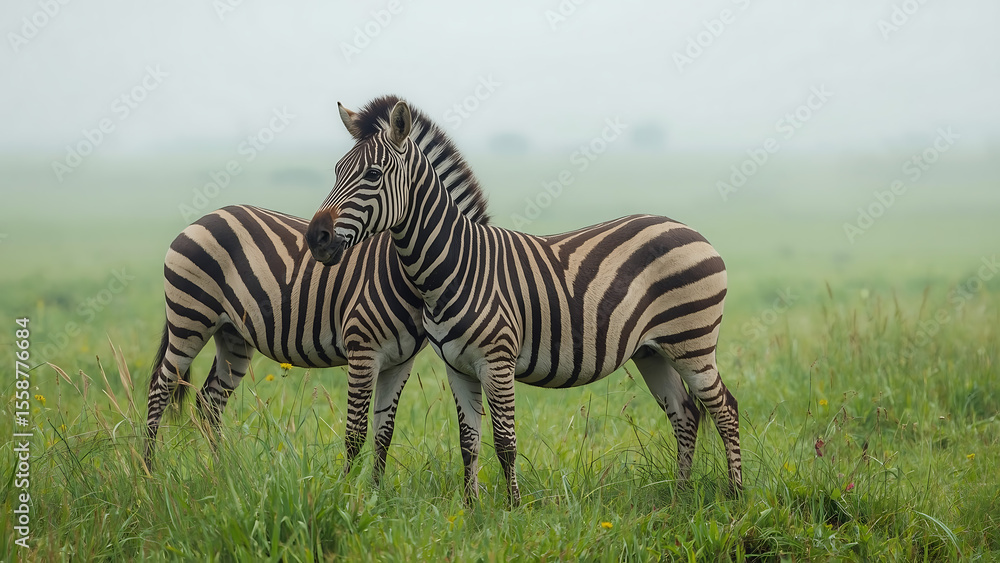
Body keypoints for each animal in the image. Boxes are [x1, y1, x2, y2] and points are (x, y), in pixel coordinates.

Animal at [144, 97, 490, 482]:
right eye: (337, 171)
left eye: (372, 174)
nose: (315, 238)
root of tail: (205, 217)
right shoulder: (362, 351)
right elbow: (355, 432)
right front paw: (349, 491)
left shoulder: (400, 360)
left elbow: (384, 431)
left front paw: (376, 490)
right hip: (189, 317)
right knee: (159, 392)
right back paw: (148, 476)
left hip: (232, 333)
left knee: (209, 403)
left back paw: (222, 476)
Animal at [305, 98, 742, 506]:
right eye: (336, 171)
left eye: (372, 175)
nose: (316, 238)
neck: (456, 264)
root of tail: (690, 230)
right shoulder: (457, 366)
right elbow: (468, 442)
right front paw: (471, 509)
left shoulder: (497, 362)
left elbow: (505, 442)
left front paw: (513, 508)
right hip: (653, 351)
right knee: (685, 414)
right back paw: (681, 497)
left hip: (692, 343)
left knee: (725, 410)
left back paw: (735, 495)